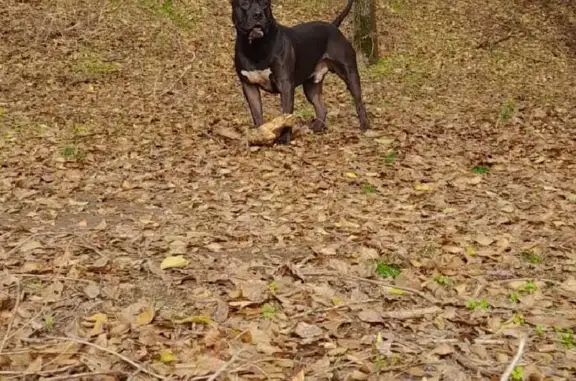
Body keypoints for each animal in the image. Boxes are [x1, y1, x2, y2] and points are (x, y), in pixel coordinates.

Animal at [232, 0, 372, 143]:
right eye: (244, 3)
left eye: (265, 3)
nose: (258, 14)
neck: (256, 47)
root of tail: (333, 26)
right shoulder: (249, 86)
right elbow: (257, 114)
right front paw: (260, 136)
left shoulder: (285, 84)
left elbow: (286, 114)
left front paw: (284, 138)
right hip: (311, 86)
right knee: (321, 108)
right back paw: (316, 128)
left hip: (350, 73)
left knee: (359, 101)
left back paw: (365, 125)